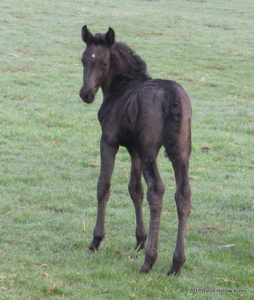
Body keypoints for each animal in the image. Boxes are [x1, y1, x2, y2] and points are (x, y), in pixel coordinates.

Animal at [78, 25, 191, 274]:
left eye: (104, 63)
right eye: (83, 60)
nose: (86, 94)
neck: (120, 88)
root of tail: (171, 96)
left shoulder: (109, 141)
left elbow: (104, 186)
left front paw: (96, 241)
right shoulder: (135, 150)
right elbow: (134, 189)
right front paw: (140, 239)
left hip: (150, 151)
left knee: (156, 190)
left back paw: (149, 261)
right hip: (181, 152)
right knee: (183, 194)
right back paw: (176, 264)